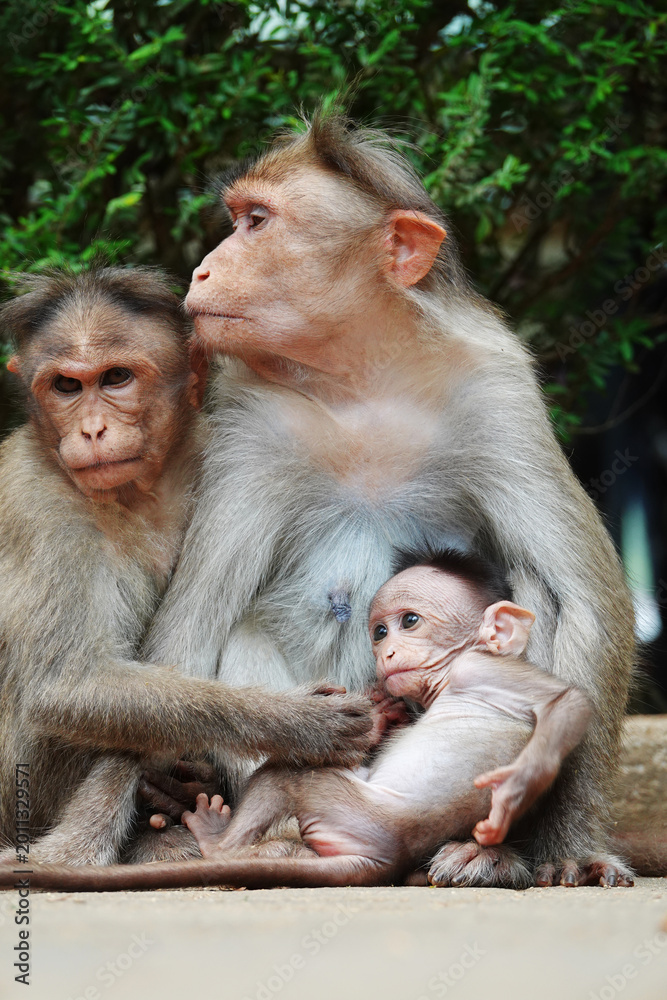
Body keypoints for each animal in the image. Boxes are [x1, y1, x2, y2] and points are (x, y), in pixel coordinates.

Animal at [0, 266, 372, 868]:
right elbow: (65, 686)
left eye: (116, 378)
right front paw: (299, 724)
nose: (92, 430)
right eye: (66, 387)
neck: (140, 492)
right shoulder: (37, 501)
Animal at [0, 551, 606, 891]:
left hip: (343, 808)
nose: (386, 653)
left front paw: (516, 786)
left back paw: (214, 837)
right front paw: (375, 716)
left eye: (410, 621)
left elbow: (568, 704)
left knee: (289, 775)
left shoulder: (487, 669)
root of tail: (380, 861)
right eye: (379, 631)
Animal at [128, 110, 637, 888]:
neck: (362, 376)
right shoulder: (251, 418)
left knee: (538, 596)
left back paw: (484, 853)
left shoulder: (497, 390)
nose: (202, 268)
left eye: (256, 222)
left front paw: (569, 844)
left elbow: (582, 598)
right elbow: (196, 616)